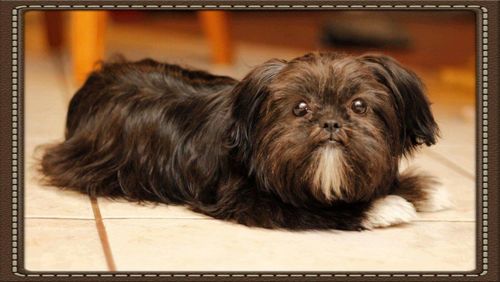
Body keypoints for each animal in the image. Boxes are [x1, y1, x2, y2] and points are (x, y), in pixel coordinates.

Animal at [41, 53, 452, 231]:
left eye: (359, 106)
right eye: (300, 108)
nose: (331, 122)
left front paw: (420, 190)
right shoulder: (246, 199)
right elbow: (310, 209)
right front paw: (382, 208)